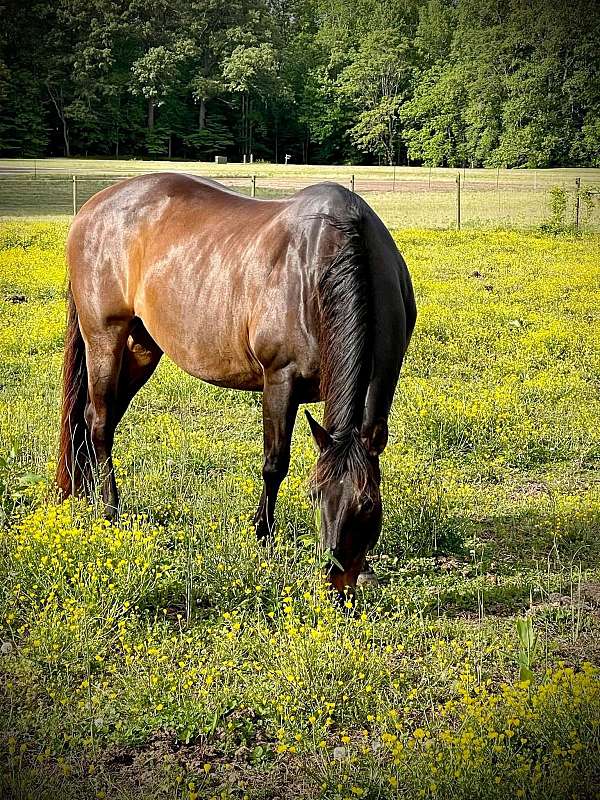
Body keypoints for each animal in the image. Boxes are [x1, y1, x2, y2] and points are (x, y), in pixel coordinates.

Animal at [56, 173, 418, 588]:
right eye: (314, 495)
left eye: (368, 504)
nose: (335, 584)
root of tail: (91, 208)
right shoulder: (280, 380)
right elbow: (275, 463)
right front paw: (263, 536)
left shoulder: (383, 381)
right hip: (104, 338)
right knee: (99, 422)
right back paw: (110, 511)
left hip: (141, 347)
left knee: (99, 419)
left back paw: (86, 495)